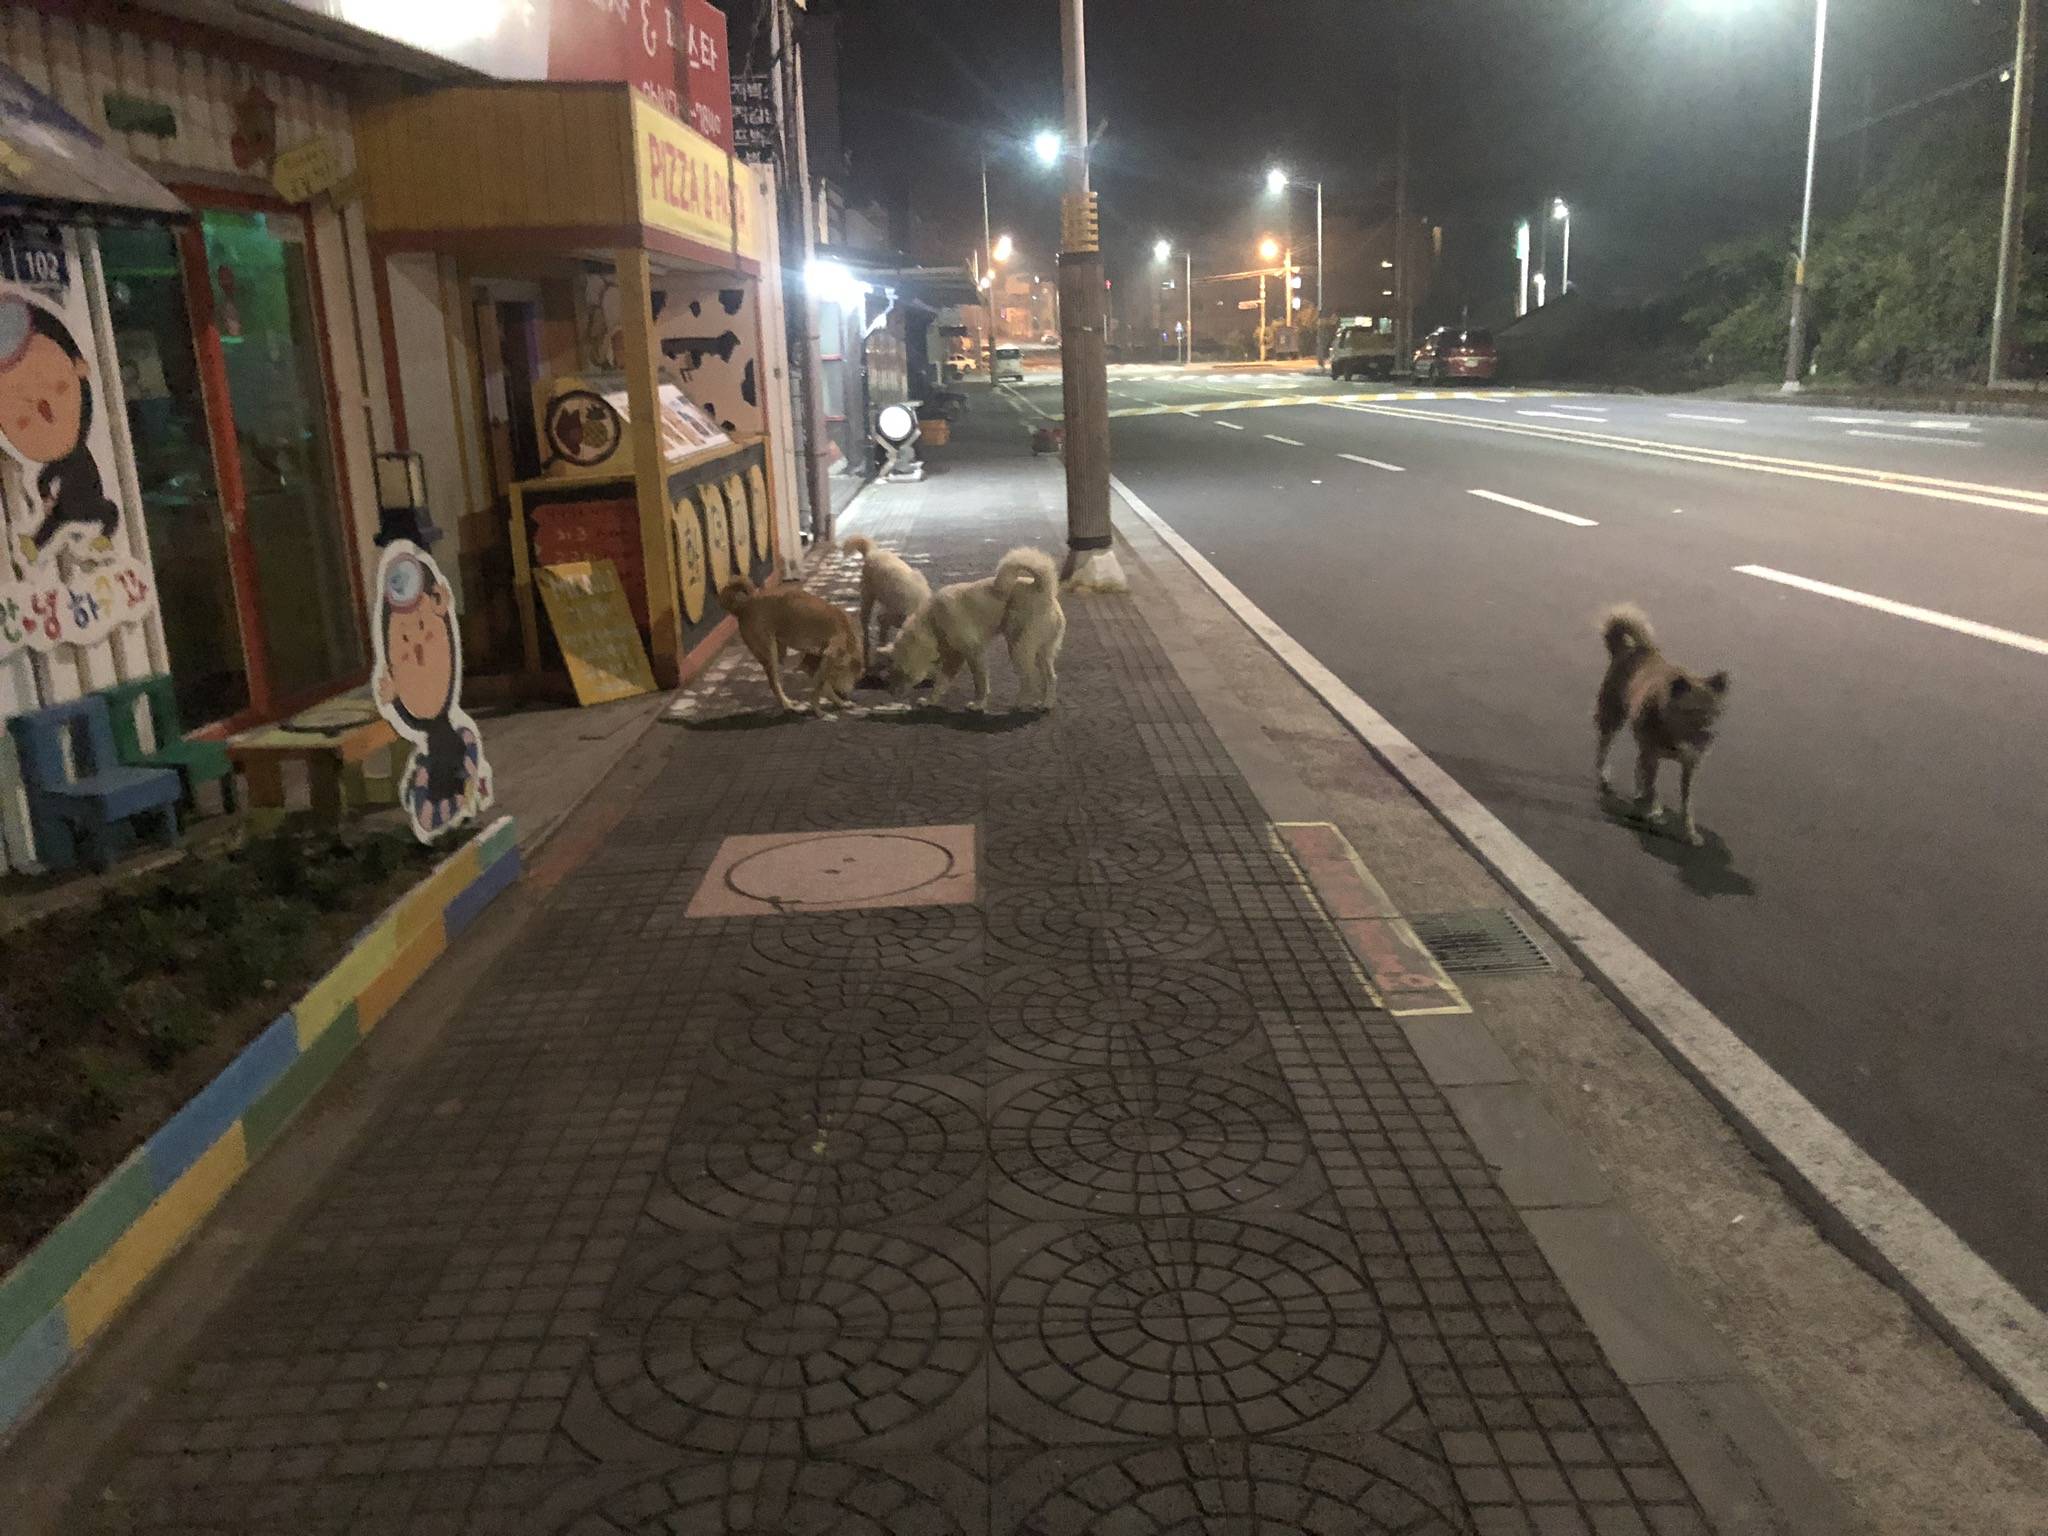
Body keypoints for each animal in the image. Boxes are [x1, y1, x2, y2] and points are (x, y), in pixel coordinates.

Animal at [716, 581, 860, 720]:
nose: (845, 693)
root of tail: (744, 607)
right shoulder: (829, 656)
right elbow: (820, 687)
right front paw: (819, 711)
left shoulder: (813, 662)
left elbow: (823, 686)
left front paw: (838, 703)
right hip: (770, 655)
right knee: (774, 684)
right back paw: (788, 705)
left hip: (781, 651)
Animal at [884, 548, 1064, 716]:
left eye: (901, 673)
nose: (892, 693)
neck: (934, 620)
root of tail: (1043, 589)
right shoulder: (954, 658)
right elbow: (940, 684)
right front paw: (930, 701)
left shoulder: (973, 653)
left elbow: (980, 683)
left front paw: (978, 705)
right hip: (1041, 652)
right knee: (1051, 678)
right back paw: (1045, 703)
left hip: (1017, 648)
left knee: (1028, 679)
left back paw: (1019, 703)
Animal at [1597, 606, 1728, 847]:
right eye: (1692, 711)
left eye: (1715, 714)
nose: (1708, 738)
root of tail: (1631, 650)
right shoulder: (1653, 755)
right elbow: (1653, 787)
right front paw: (1654, 811)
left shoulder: (1689, 767)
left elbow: (1686, 805)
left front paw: (1689, 832)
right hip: (1612, 717)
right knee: (1604, 749)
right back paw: (1605, 777)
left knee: (1638, 766)